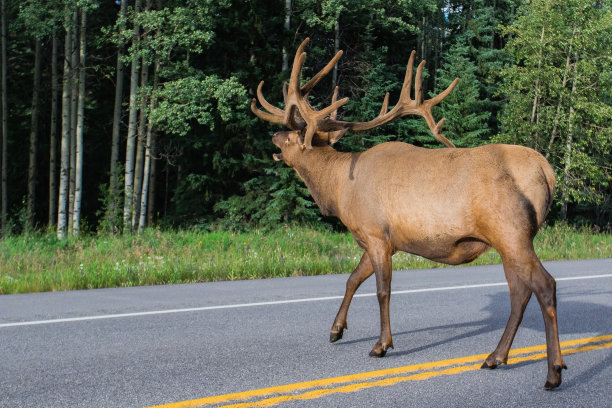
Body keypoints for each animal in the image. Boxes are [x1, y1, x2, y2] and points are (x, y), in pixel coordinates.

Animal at [251, 39, 568, 390]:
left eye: (292, 136)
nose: (272, 137)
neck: (338, 190)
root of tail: (547, 172)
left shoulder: (376, 233)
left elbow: (382, 291)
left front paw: (381, 344)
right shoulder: (380, 239)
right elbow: (352, 279)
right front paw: (336, 330)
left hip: (510, 231)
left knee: (544, 285)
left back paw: (553, 371)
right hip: (506, 240)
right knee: (519, 292)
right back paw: (495, 357)